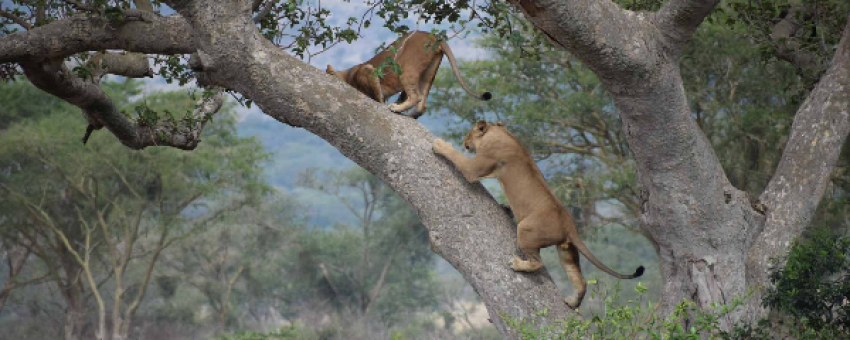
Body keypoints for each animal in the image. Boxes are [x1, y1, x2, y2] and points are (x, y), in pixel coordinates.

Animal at [328, 30, 494, 118]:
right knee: (421, 104)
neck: (350, 74)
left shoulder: (369, 70)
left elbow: (377, 94)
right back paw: (409, 114)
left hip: (406, 68)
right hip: (428, 73)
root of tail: (433, 36)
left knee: (416, 96)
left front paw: (381, 102)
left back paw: (396, 108)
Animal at [430, 120, 644, 308]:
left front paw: (440, 144)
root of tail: (569, 224)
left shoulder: (475, 168)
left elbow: (456, 157)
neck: (501, 133)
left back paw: (518, 264)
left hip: (525, 229)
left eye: (469, 133)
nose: (465, 142)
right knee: (580, 280)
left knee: (538, 263)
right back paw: (572, 302)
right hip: (566, 251)